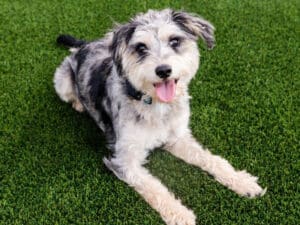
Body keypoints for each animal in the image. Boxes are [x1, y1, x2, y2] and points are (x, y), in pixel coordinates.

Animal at [53, 8, 264, 225]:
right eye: (141, 48)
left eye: (174, 41)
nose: (163, 70)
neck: (156, 106)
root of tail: (84, 45)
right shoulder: (125, 159)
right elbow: (154, 187)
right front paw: (180, 214)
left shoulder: (176, 138)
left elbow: (209, 158)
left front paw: (242, 181)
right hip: (61, 81)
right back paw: (79, 104)